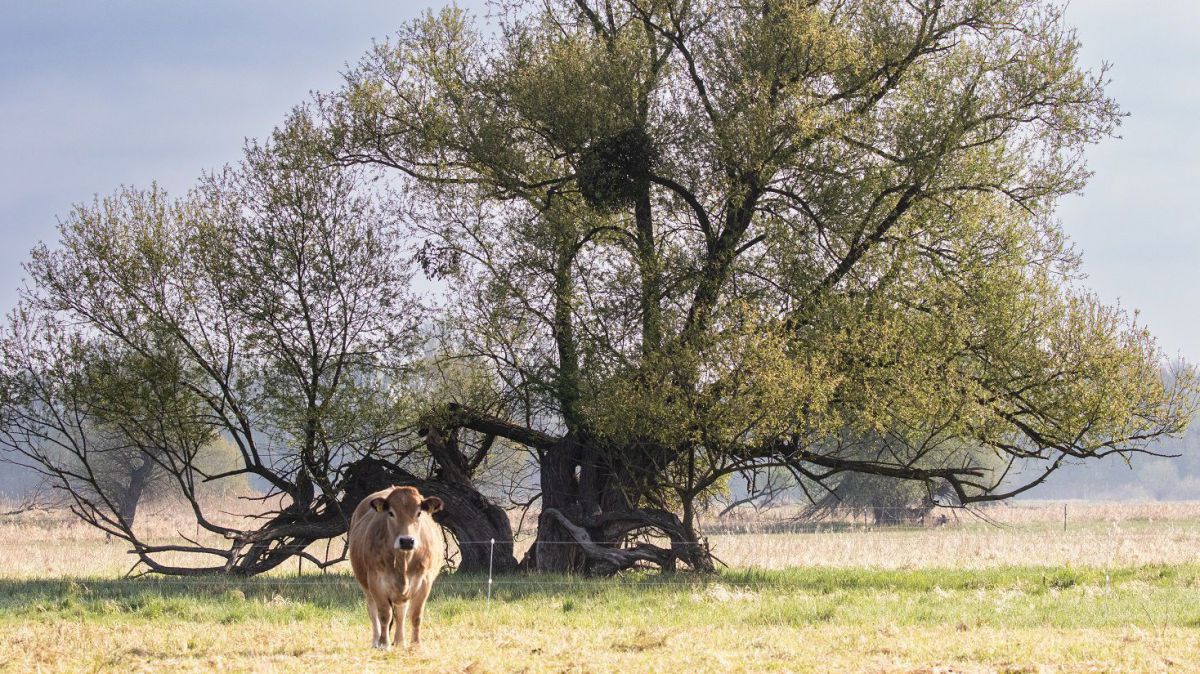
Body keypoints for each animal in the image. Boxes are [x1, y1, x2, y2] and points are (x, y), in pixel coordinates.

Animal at [350, 484, 448, 647]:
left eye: (419, 513)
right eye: (391, 513)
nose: (407, 541)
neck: (403, 562)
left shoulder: (424, 582)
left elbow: (415, 615)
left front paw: (416, 644)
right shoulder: (376, 582)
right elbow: (384, 614)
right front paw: (384, 644)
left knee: (401, 612)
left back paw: (400, 641)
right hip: (366, 587)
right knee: (373, 611)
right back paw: (376, 641)